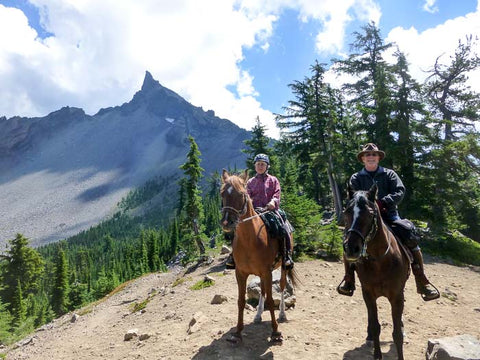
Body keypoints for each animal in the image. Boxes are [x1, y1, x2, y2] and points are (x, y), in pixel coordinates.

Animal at [220, 169, 296, 344]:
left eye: (242, 194)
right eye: (222, 194)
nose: (227, 223)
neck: (250, 240)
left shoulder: (267, 272)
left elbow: (271, 299)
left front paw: (275, 332)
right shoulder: (240, 273)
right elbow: (241, 301)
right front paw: (237, 332)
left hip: (282, 267)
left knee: (282, 286)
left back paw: (282, 314)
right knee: (261, 290)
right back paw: (258, 315)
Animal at [342, 184, 408, 358]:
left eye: (370, 214)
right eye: (347, 212)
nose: (351, 248)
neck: (379, 261)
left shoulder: (397, 296)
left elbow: (397, 333)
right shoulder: (368, 294)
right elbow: (375, 326)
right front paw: (377, 354)